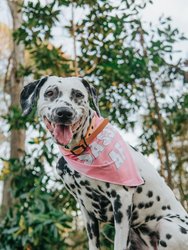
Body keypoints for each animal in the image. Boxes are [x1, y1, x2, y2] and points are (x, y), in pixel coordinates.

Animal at [19, 76, 187, 250]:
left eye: (78, 94)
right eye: (50, 93)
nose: (64, 113)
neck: (80, 150)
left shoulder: (121, 201)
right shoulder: (86, 211)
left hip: (168, 225)